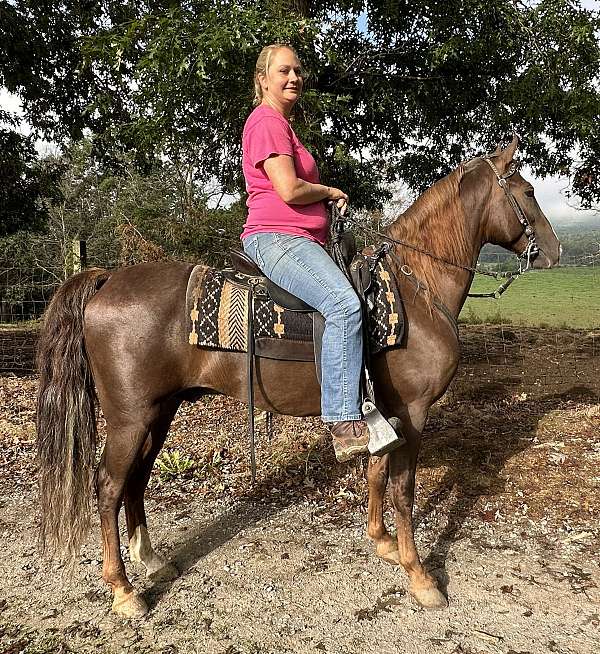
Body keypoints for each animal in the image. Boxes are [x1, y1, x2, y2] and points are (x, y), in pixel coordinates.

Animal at [36, 138, 564, 620]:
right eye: (529, 191)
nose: (555, 252)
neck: (417, 290)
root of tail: (106, 279)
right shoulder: (413, 414)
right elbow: (403, 490)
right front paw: (419, 577)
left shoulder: (386, 411)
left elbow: (376, 472)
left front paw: (382, 542)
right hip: (131, 416)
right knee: (108, 484)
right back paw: (124, 590)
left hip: (159, 411)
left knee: (137, 478)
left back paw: (151, 561)